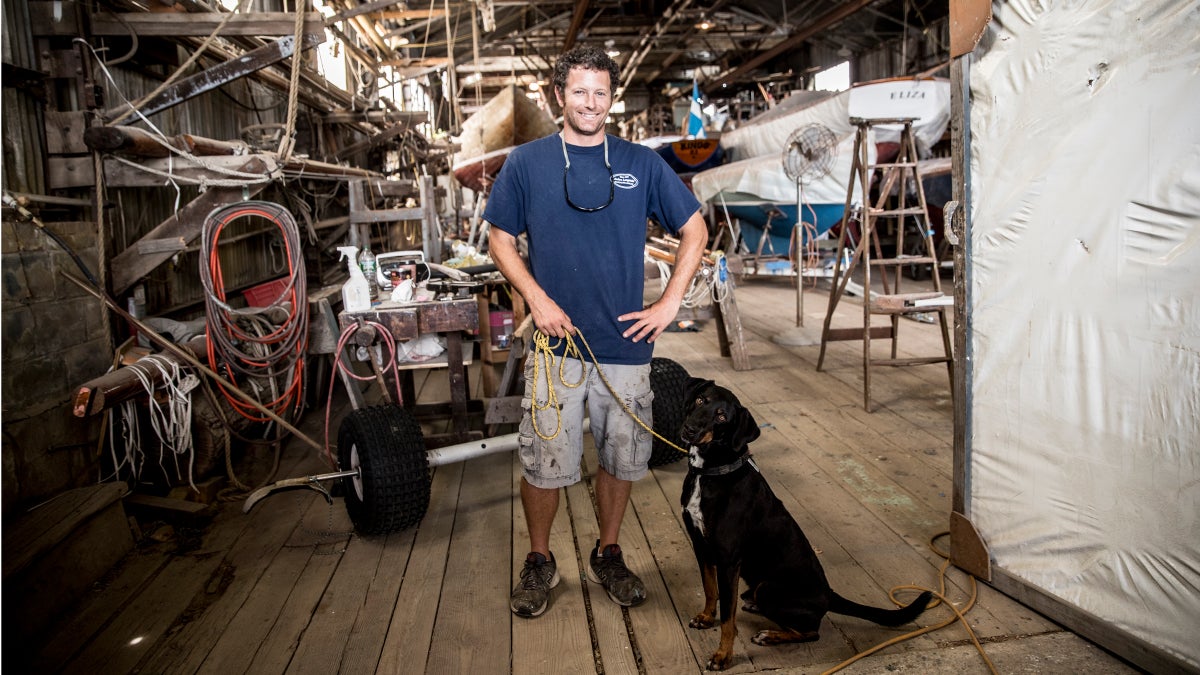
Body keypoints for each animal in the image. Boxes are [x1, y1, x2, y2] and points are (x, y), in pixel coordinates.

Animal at [681, 379, 931, 667]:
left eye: (722, 417)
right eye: (701, 400)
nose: (689, 429)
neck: (711, 472)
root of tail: (828, 593)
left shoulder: (728, 560)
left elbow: (727, 619)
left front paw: (723, 655)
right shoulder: (701, 546)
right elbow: (710, 589)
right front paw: (706, 617)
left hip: (769, 588)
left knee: (812, 632)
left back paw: (770, 635)